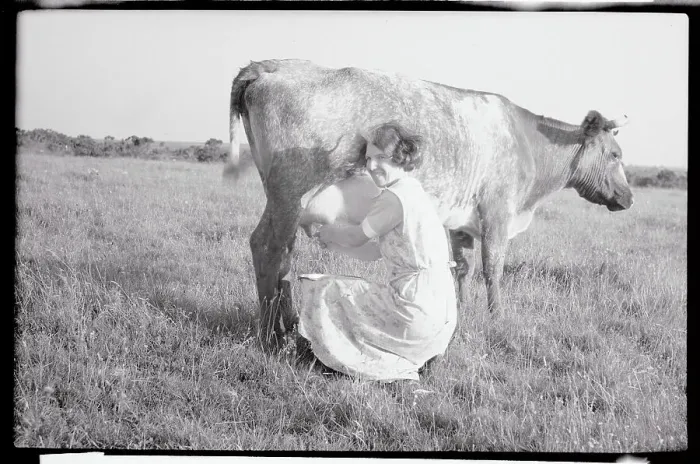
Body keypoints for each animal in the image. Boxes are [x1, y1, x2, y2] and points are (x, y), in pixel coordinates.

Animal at [225, 59, 633, 348]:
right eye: (615, 154)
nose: (628, 198)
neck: (527, 144)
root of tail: (269, 65)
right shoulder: (498, 211)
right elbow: (494, 267)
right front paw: (497, 318)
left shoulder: (459, 221)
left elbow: (463, 268)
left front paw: (462, 313)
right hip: (290, 191)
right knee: (269, 247)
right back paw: (271, 338)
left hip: (282, 198)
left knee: (281, 255)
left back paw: (288, 327)